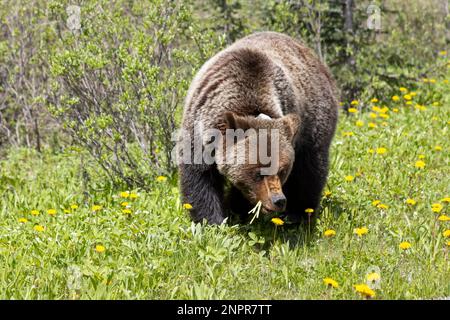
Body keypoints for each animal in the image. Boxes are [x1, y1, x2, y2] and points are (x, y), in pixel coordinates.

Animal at [176, 31, 338, 224]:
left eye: (282, 170)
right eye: (258, 172)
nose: (278, 200)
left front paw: (237, 210)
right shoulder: (200, 128)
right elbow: (200, 176)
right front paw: (213, 219)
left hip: (314, 123)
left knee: (309, 170)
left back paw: (297, 215)